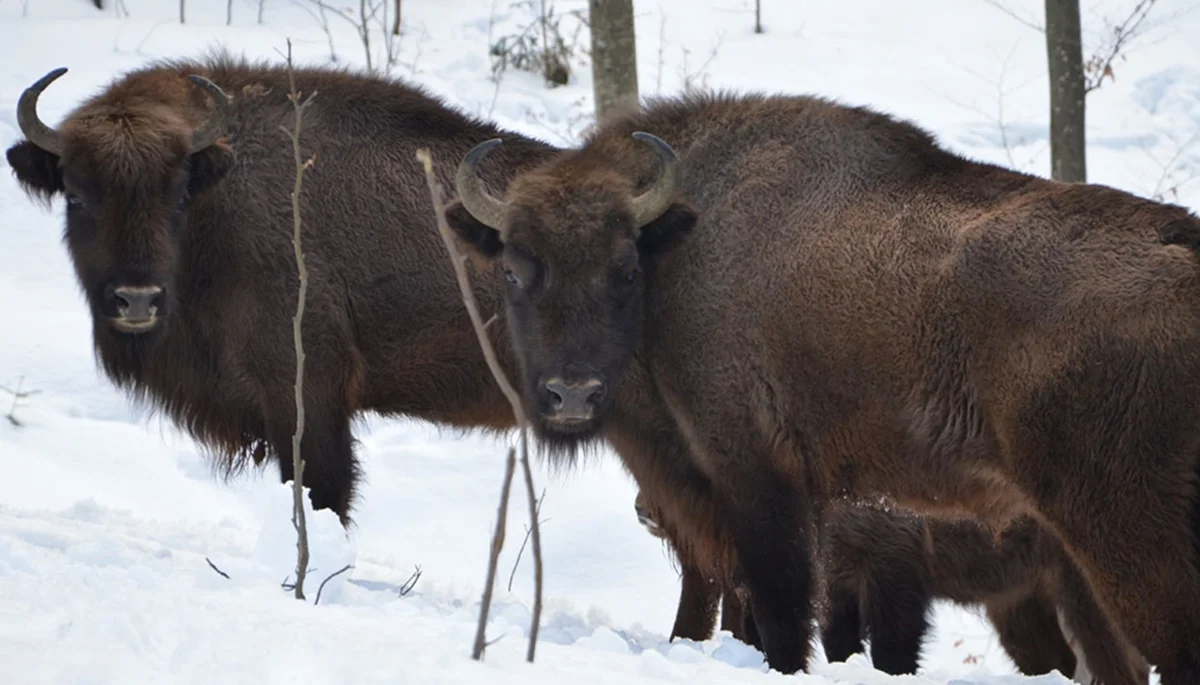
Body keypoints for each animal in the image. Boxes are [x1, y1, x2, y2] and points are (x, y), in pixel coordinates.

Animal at [3, 54, 556, 525]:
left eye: (178, 193)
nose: (136, 298)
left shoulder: (305, 394)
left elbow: (321, 492)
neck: (219, 195)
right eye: (76, 195)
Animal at [633, 496, 1147, 681]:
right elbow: (839, 640)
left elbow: (895, 641)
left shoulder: (894, 561)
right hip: (1017, 594)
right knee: (1050, 654)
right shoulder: (839, 581)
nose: (645, 507)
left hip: (1078, 579)